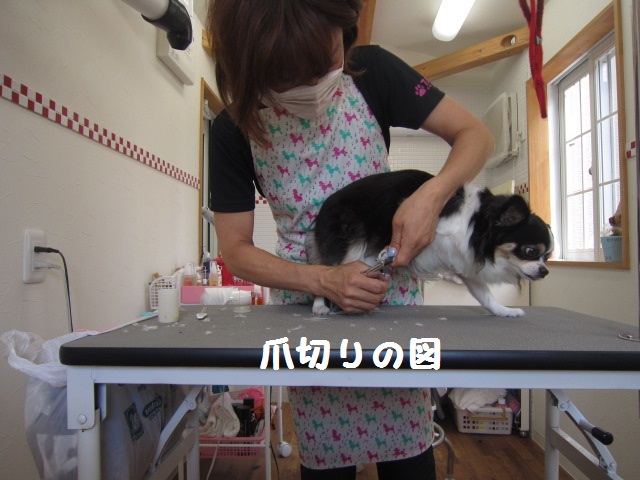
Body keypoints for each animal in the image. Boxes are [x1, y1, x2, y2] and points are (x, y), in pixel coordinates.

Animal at [305, 170, 553, 317]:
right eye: (530, 251)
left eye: (547, 256)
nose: (545, 271)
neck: (477, 225)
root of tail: (325, 204)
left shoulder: (464, 263)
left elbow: (484, 294)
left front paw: (503, 311)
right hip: (351, 248)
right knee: (327, 271)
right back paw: (320, 305)